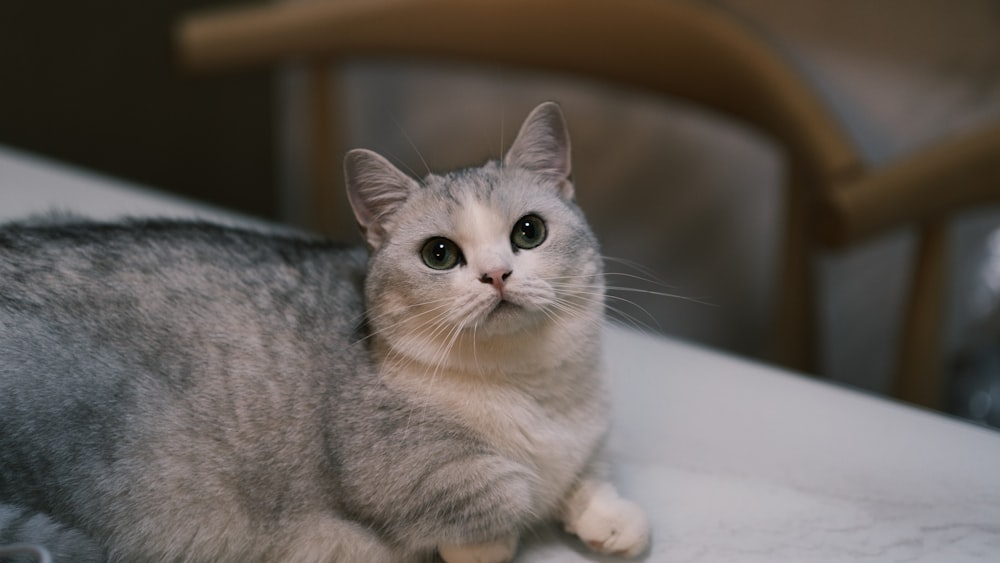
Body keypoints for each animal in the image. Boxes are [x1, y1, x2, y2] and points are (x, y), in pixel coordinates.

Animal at [0, 102, 652, 563]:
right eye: (439, 254)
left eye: (529, 231)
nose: (496, 274)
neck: (530, 387)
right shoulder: (391, 462)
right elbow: (504, 491)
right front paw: (490, 539)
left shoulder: (587, 428)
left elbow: (586, 471)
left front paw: (610, 516)